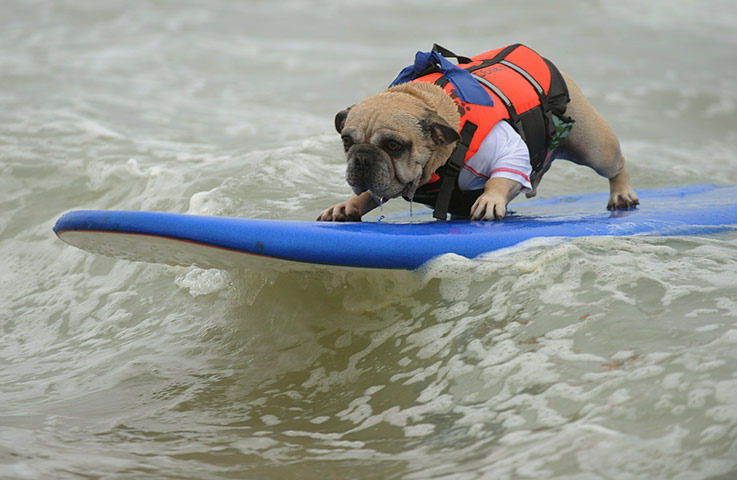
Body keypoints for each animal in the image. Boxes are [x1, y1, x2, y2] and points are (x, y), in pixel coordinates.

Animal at [316, 45, 640, 221]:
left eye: (394, 145)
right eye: (347, 141)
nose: (362, 158)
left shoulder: (507, 149)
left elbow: (503, 174)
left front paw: (490, 199)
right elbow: (371, 193)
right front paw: (349, 205)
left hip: (593, 145)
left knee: (615, 164)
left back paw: (622, 193)